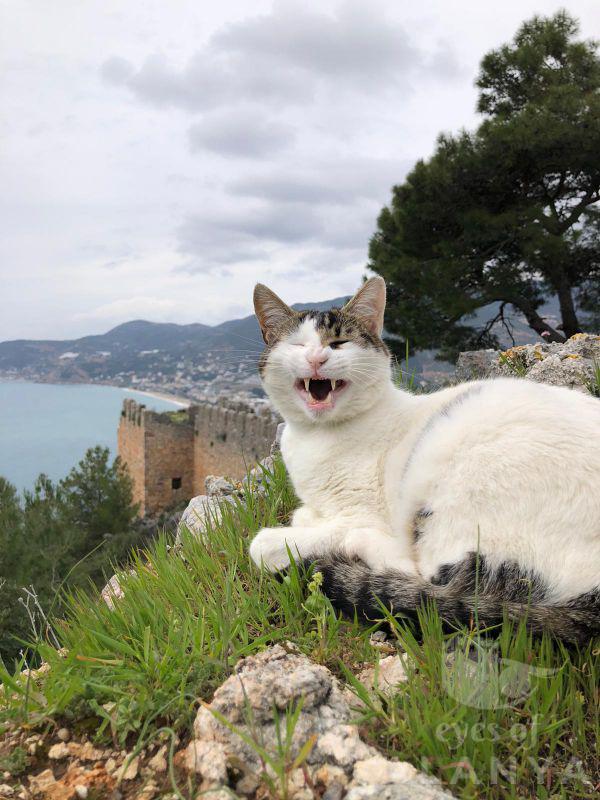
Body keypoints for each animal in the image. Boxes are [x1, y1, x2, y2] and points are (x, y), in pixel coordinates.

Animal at [248, 276, 600, 644]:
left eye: (339, 342)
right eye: (298, 344)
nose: (316, 358)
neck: (316, 436)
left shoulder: (365, 512)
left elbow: (292, 538)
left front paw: (286, 537)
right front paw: (309, 515)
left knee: (422, 577)